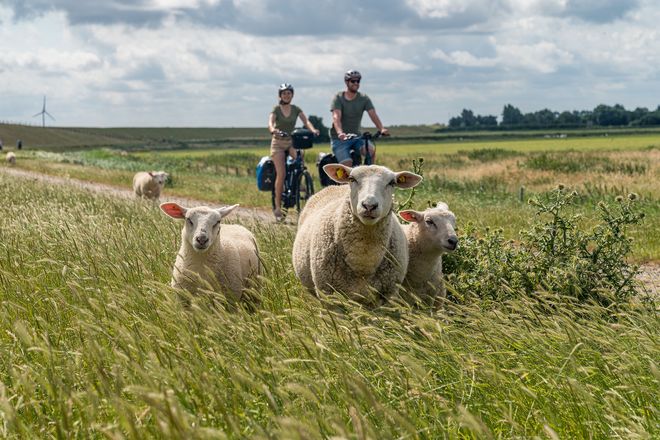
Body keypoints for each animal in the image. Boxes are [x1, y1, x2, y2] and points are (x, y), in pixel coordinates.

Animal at [292, 163, 422, 308]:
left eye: (392, 183)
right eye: (352, 179)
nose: (369, 205)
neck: (363, 261)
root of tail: (336, 186)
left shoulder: (385, 297)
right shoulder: (329, 295)